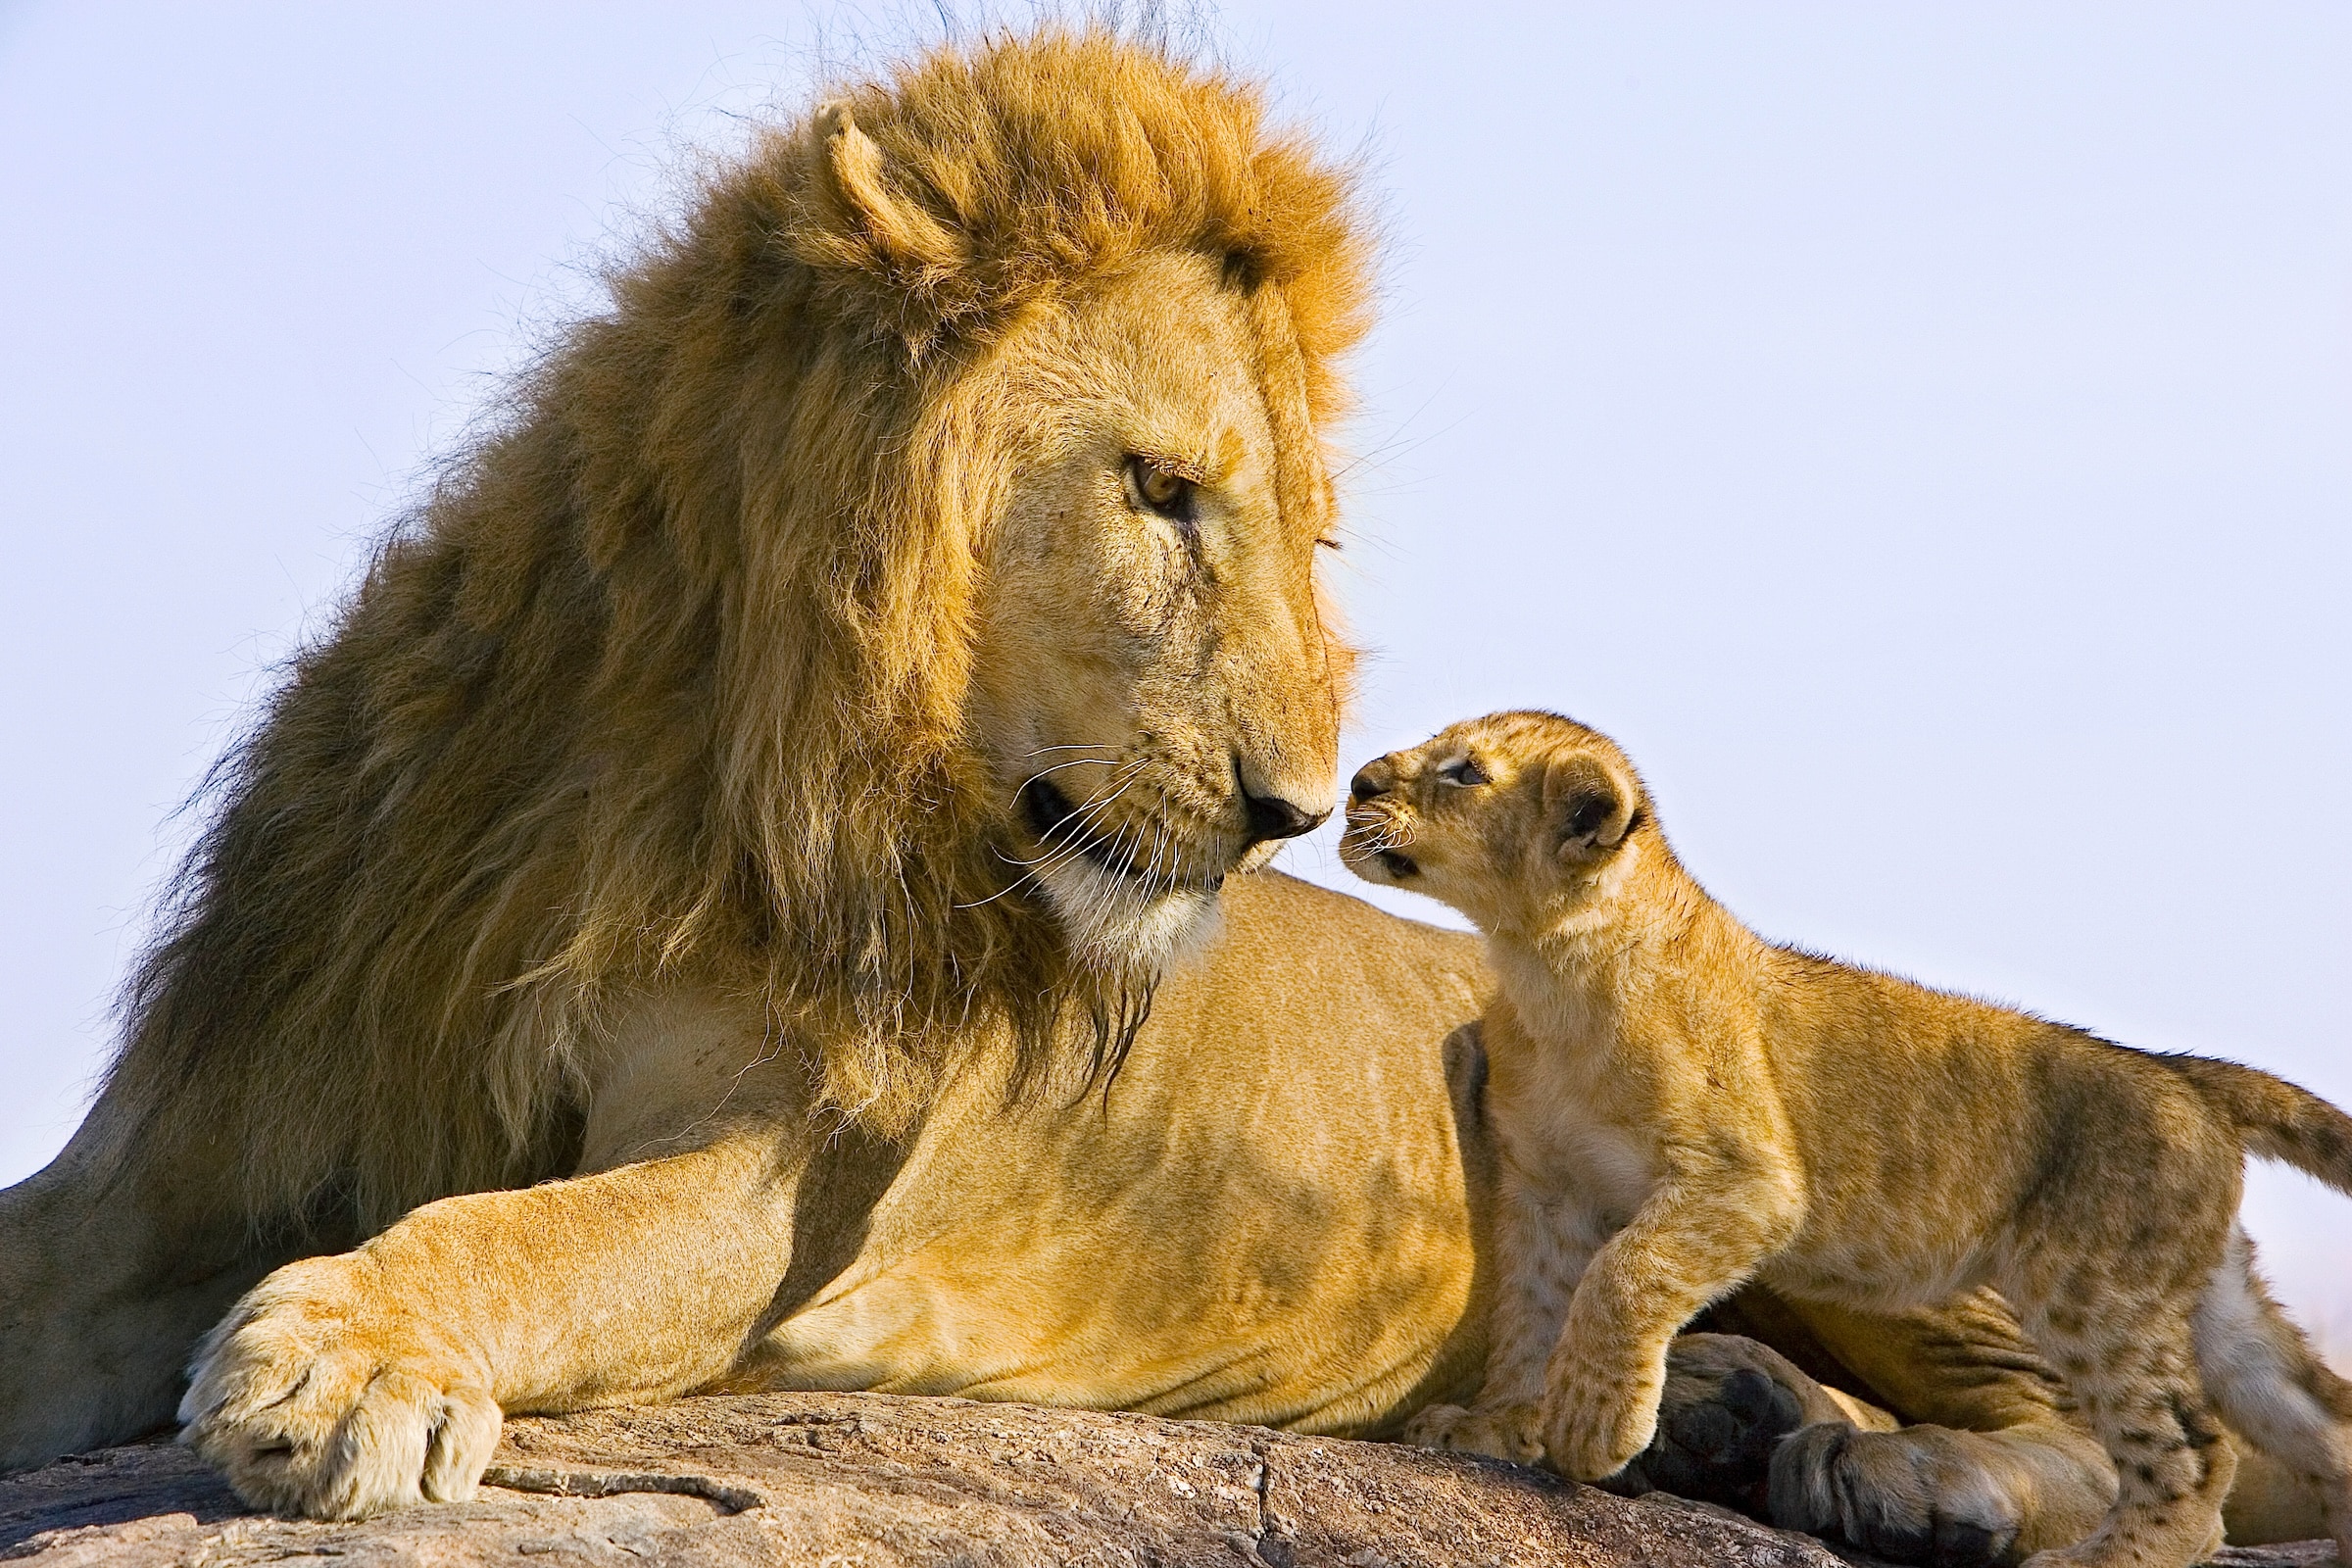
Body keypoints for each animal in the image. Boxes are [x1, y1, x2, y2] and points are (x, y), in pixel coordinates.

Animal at [1341, 711, 2352, 1568]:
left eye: (1464, 772)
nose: (1356, 782)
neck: (1541, 964)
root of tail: (2183, 1075)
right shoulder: (1547, 1185)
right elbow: (1534, 1308)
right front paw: (1497, 1424)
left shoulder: (1748, 1182)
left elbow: (1623, 1277)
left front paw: (1591, 1430)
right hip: (2210, 1301)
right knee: (2313, 1421)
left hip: (2094, 1293)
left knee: (2192, 1453)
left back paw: (2098, 1558)